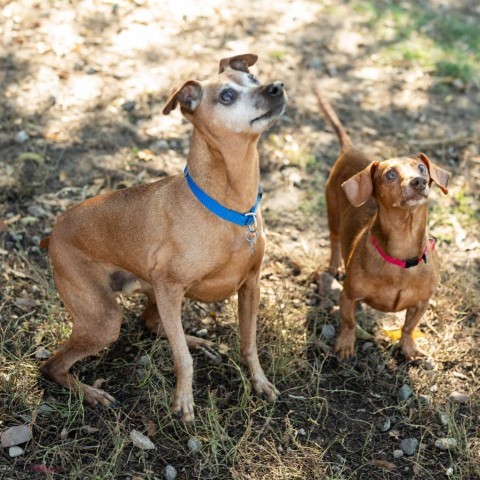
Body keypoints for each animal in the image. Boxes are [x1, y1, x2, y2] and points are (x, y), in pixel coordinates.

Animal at [40, 54, 284, 422]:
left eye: (253, 77)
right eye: (226, 96)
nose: (277, 86)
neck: (232, 208)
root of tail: (52, 233)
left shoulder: (251, 285)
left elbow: (248, 343)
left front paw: (260, 383)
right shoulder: (170, 287)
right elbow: (182, 358)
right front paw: (183, 402)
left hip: (149, 293)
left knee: (152, 323)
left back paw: (198, 340)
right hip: (105, 319)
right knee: (52, 366)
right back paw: (94, 395)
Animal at [314, 86, 452, 360]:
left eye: (422, 168)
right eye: (390, 174)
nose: (419, 181)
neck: (402, 254)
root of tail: (350, 150)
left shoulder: (421, 303)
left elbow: (409, 327)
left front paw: (408, 348)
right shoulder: (348, 297)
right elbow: (348, 322)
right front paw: (345, 345)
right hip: (332, 215)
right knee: (334, 241)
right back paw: (335, 266)